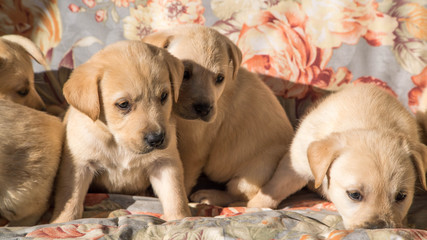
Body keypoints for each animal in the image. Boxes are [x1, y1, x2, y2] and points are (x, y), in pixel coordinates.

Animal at [50, 40, 191, 223]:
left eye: (164, 96)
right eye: (123, 104)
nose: (157, 139)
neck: (118, 143)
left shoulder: (164, 162)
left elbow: (175, 195)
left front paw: (179, 218)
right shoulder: (79, 164)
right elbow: (70, 197)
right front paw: (62, 220)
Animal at [143, 24, 294, 205]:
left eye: (220, 78)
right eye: (185, 73)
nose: (204, 109)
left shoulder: (194, 148)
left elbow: (184, 177)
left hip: (257, 169)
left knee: (240, 195)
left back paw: (209, 196)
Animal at [247, 83, 427, 230]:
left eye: (401, 196)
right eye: (354, 195)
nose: (380, 227)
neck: (368, 121)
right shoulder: (295, 166)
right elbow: (275, 187)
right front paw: (254, 206)